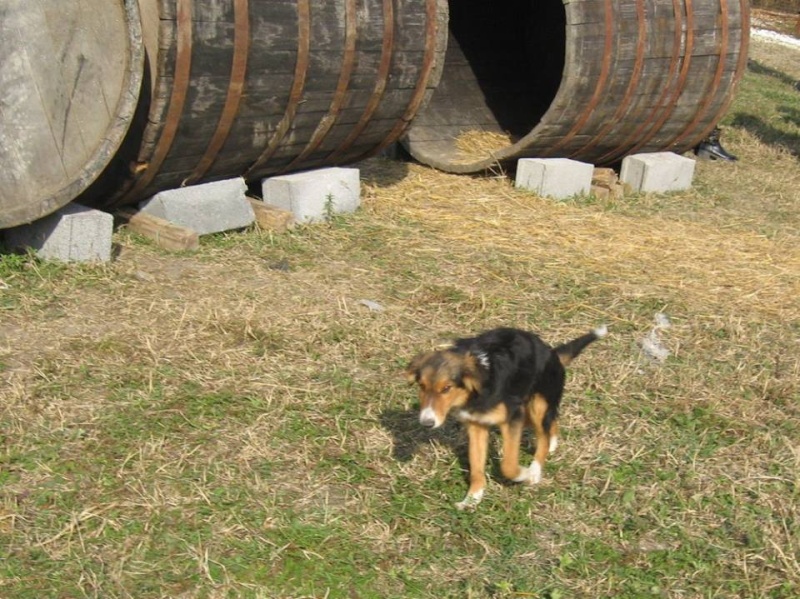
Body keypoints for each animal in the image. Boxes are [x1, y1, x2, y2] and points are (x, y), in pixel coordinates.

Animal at [406, 326, 608, 508]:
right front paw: (472, 498)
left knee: (542, 436)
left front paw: (523, 474)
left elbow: (508, 465)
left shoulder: (512, 417)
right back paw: (552, 442)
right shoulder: (476, 424)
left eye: (447, 388)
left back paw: (535, 470)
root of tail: (552, 353)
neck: (478, 386)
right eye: (422, 386)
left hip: (537, 404)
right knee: (550, 423)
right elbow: (476, 465)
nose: (426, 423)